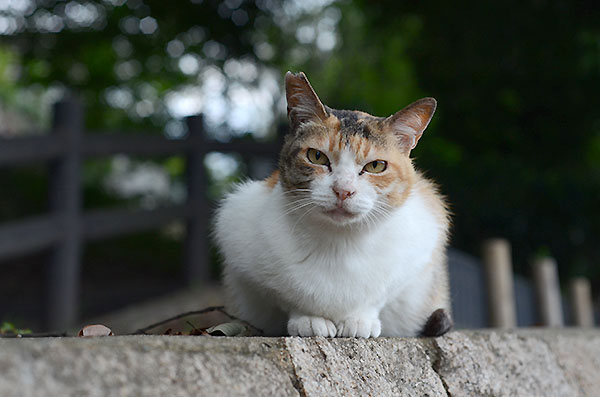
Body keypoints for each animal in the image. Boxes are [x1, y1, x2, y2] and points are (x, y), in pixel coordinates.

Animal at [213, 72, 452, 338]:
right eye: (316, 156)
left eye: (376, 166)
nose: (343, 190)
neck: (339, 243)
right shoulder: (237, 226)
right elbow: (288, 295)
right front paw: (308, 319)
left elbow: (378, 296)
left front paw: (359, 320)